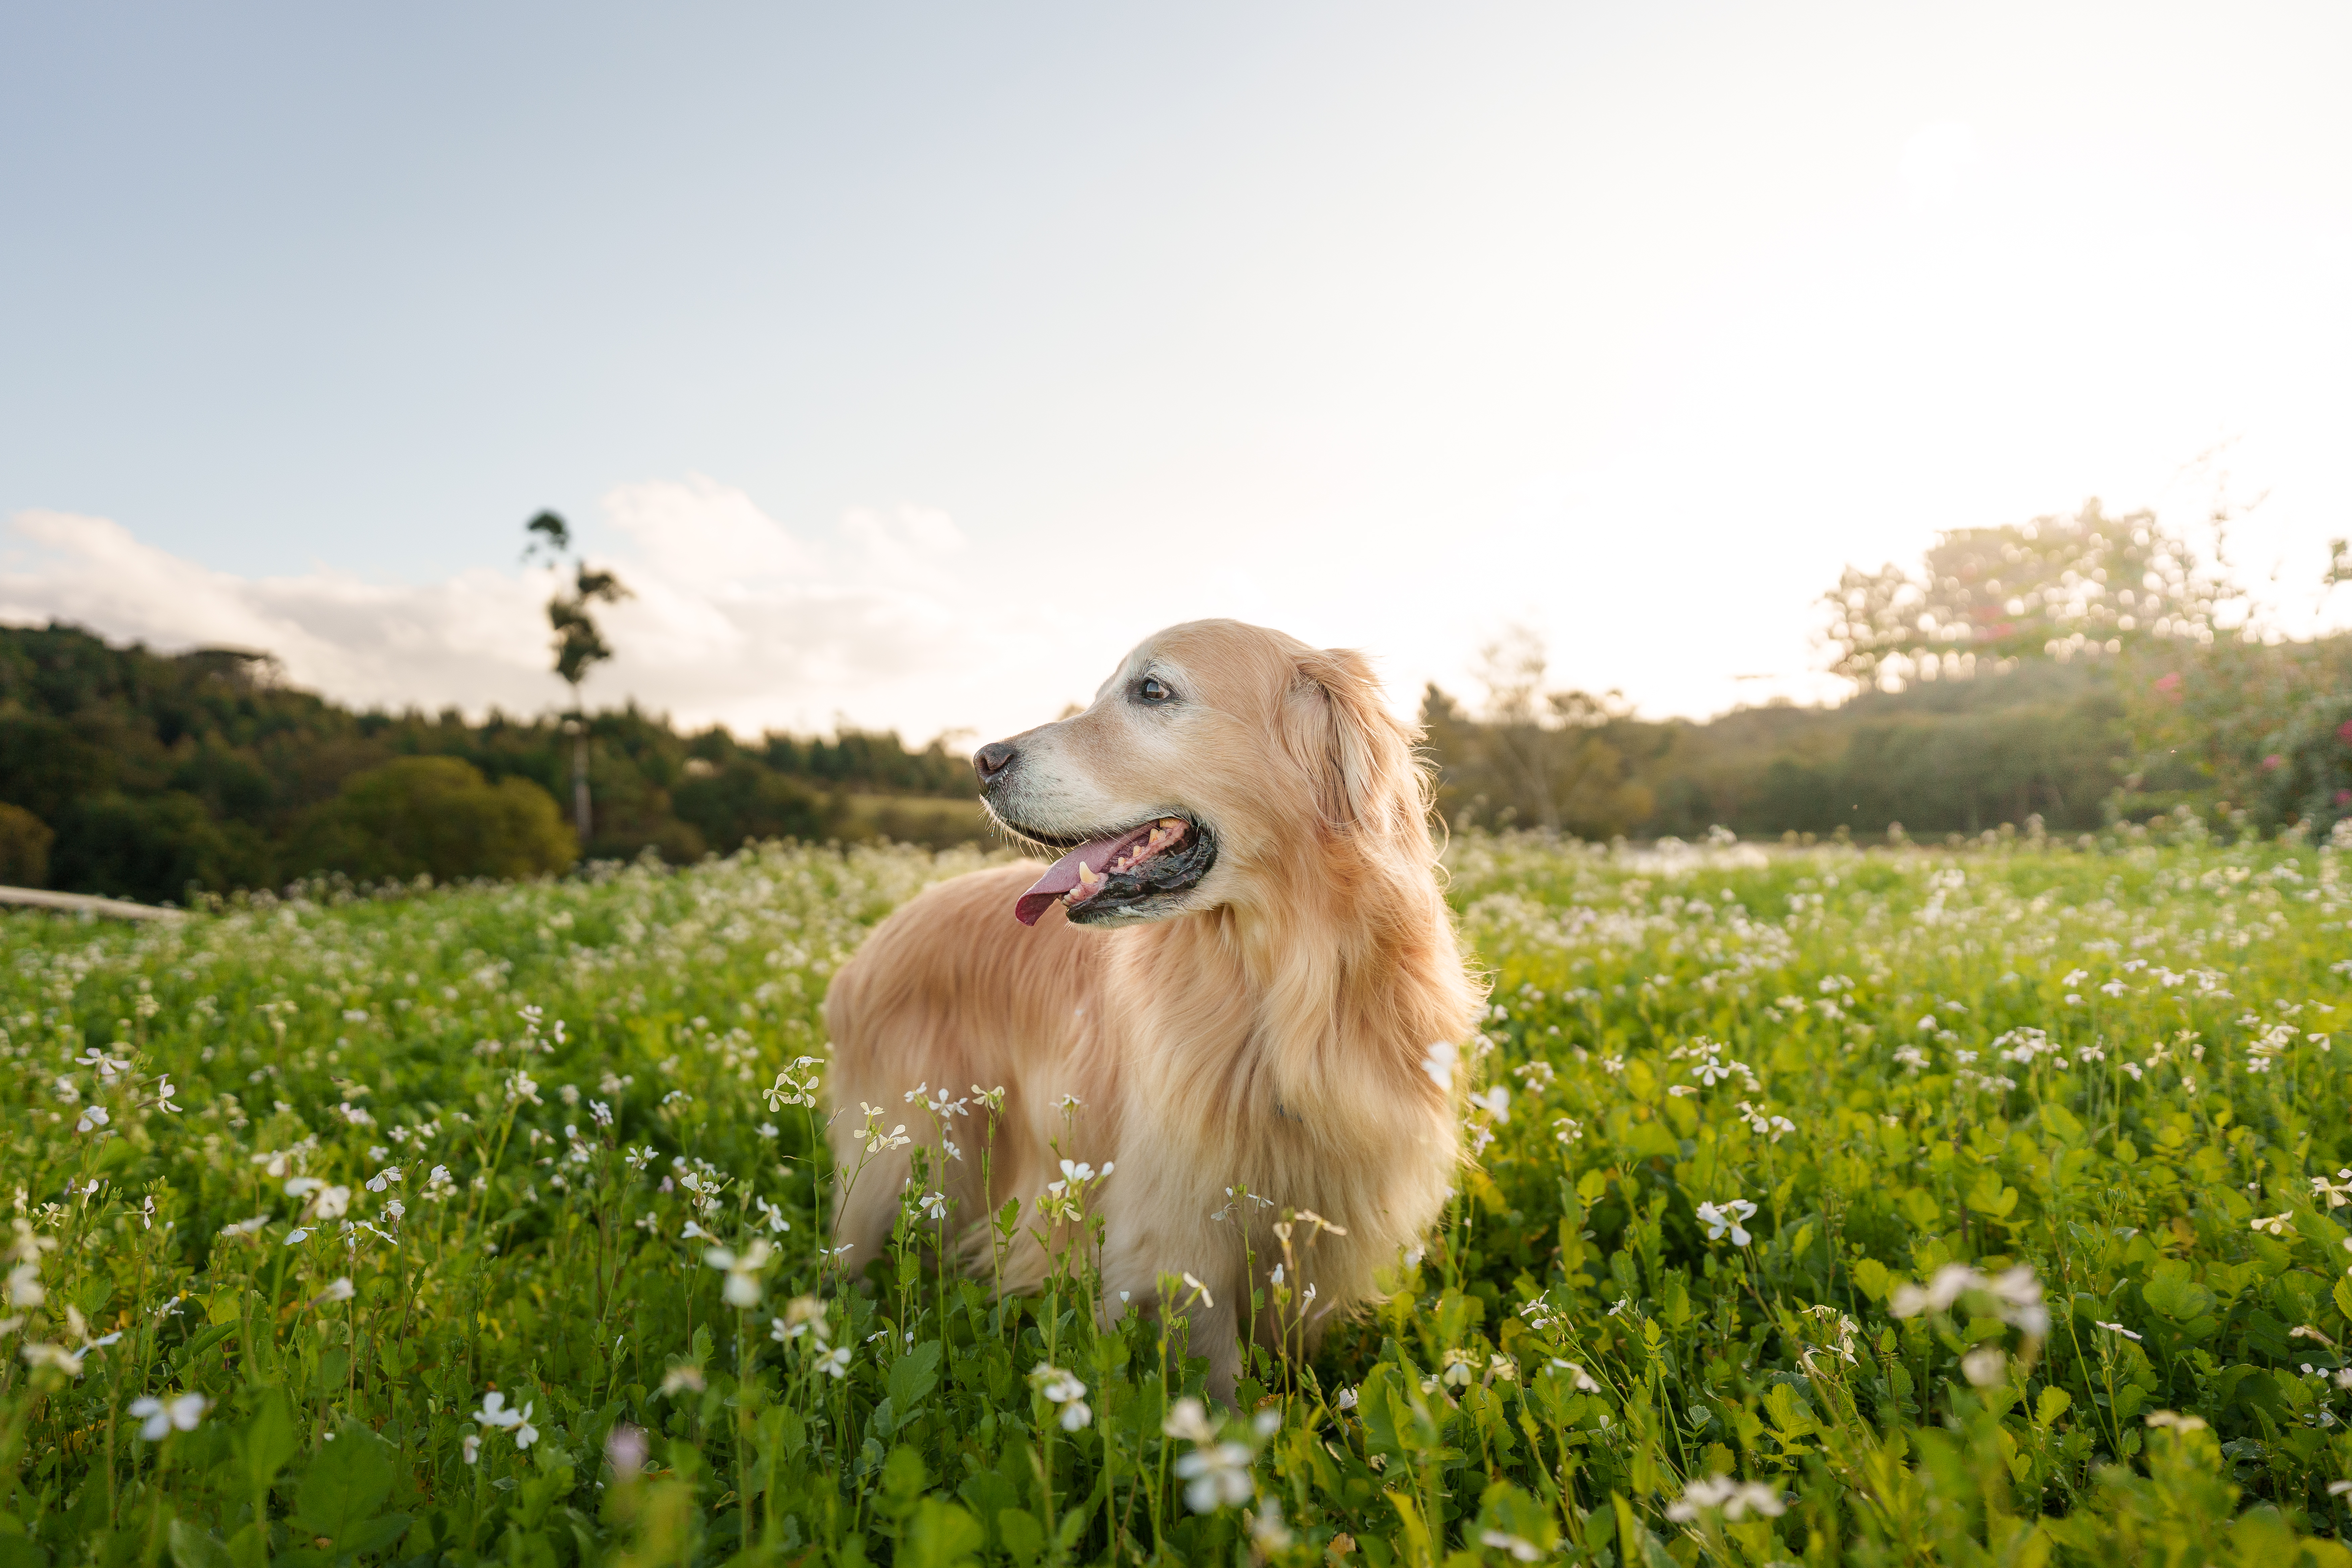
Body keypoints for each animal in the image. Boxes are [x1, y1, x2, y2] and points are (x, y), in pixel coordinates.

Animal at [823, 621, 1467, 1391]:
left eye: (1152, 690)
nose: (982, 760)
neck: (1279, 987)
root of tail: (875, 937)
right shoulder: (1178, 1236)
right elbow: (1219, 1383)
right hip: (907, 1158)